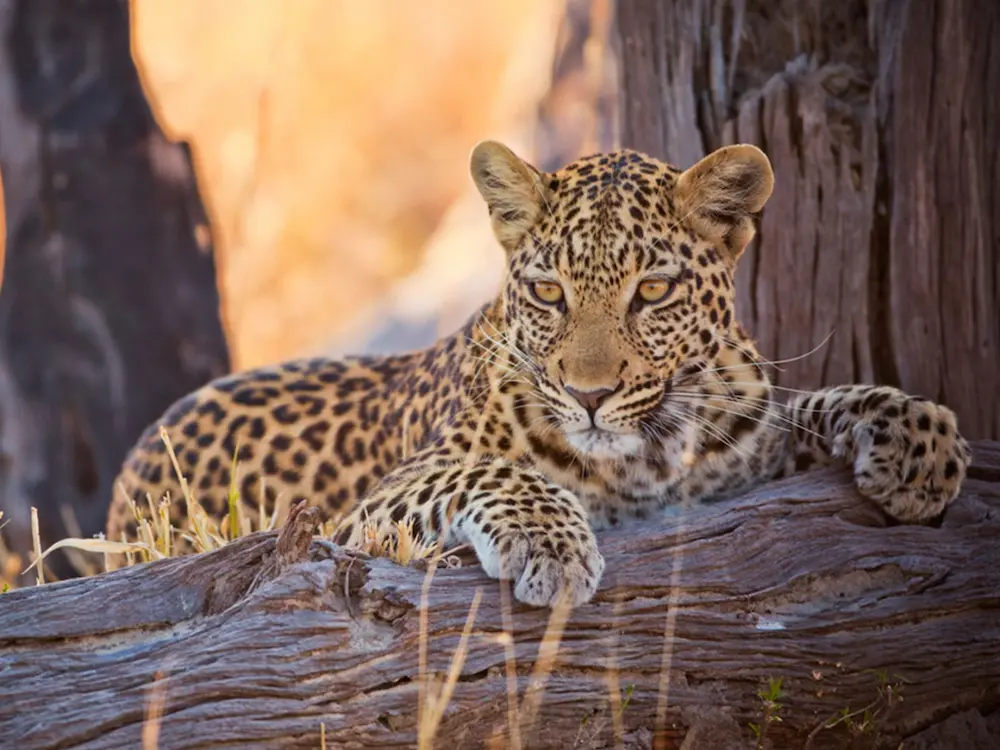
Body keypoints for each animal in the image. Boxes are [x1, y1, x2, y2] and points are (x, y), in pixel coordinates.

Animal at [106, 140, 972, 608]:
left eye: (651, 291)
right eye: (550, 292)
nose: (590, 396)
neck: (648, 457)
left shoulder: (750, 452)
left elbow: (808, 401)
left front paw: (916, 439)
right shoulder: (365, 515)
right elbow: (489, 470)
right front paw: (551, 547)